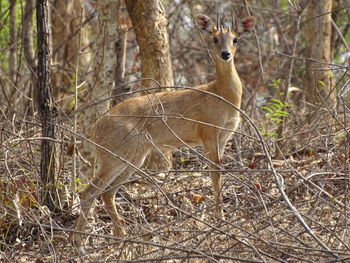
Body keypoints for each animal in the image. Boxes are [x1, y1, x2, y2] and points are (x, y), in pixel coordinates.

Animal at [73, 13, 254, 253]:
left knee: (106, 192)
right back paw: (81, 244)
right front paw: (220, 220)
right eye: (214, 38)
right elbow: (215, 175)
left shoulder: (223, 137)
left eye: (235, 39)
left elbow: (218, 174)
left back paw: (120, 237)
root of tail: (95, 128)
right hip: (115, 156)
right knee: (89, 191)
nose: (225, 54)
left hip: (133, 157)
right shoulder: (208, 134)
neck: (222, 95)